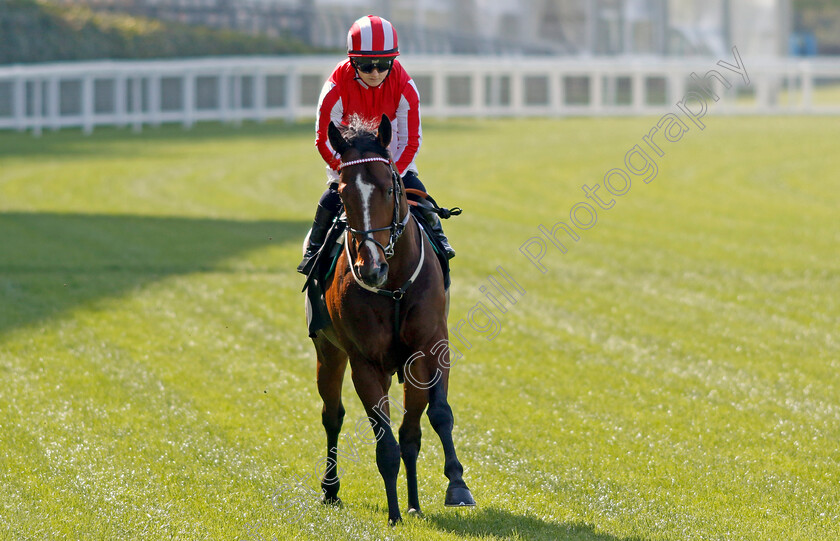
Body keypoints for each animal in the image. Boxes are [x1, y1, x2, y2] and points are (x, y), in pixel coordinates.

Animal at [308, 115, 476, 524]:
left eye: (388, 189)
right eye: (343, 194)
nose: (371, 269)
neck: (395, 286)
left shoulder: (431, 347)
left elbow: (434, 417)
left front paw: (456, 486)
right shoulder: (365, 362)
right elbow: (385, 442)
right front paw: (394, 514)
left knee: (410, 429)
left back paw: (415, 501)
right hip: (328, 350)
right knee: (332, 415)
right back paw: (331, 488)